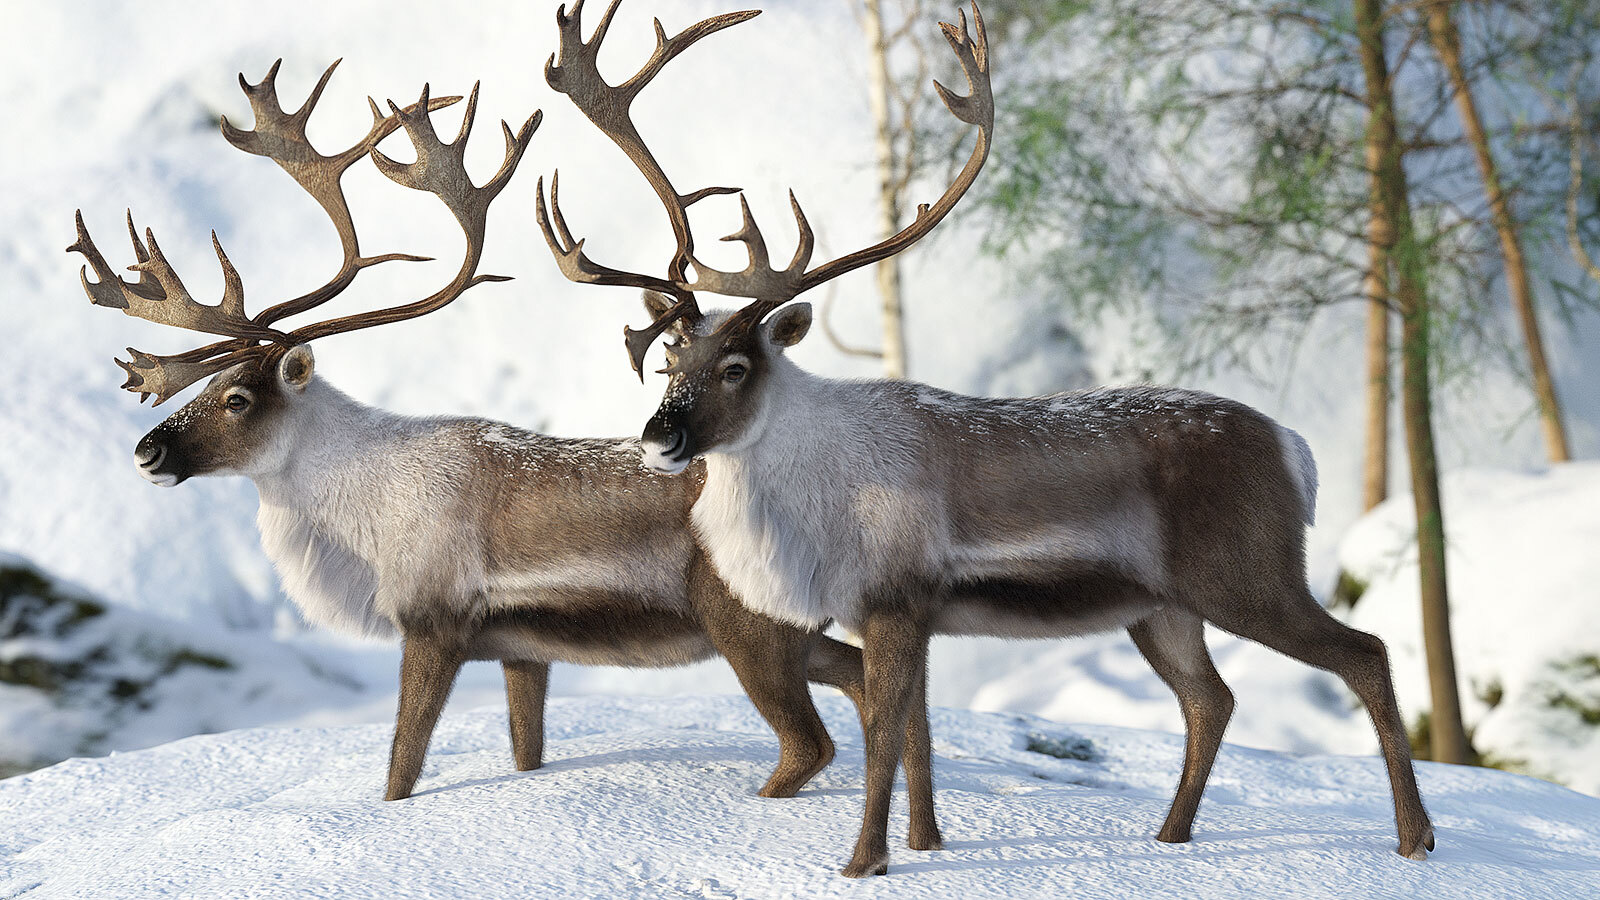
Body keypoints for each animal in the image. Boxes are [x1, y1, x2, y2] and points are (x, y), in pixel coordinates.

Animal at [66, 58, 918, 810]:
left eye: (240, 397)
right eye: (203, 385)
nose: (147, 450)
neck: (360, 516)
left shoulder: (434, 623)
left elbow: (401, 768)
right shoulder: (521, 647)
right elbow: (523, 752)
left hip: (749, 624)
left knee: (811, 742)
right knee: (871, 683)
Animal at [534, 0, 1434, 877]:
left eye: (736, 365)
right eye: (669, 359)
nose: (659, 436)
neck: (808, 511)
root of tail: (1295, 449)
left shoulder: (896, 599)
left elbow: (885, 733)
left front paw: (862, 863)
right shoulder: (910, 613)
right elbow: (918, 733)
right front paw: (926, 843)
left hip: (1248, 574)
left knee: (1366, 652)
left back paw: (1413, 839)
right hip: (1163, 607)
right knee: (1211, 697)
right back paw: (1170, 837)